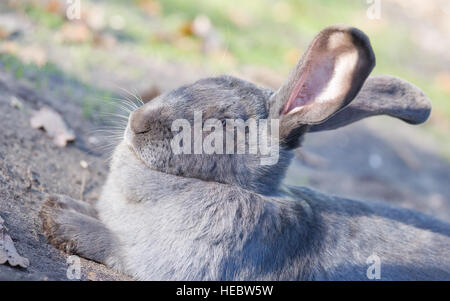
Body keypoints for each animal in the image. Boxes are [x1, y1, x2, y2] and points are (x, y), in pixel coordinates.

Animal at [40, 25, 448, 278]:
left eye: (220, 125)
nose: (137, 122)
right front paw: (61, 204)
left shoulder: (156, 259)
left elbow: (111, 243)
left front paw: (59, 219)